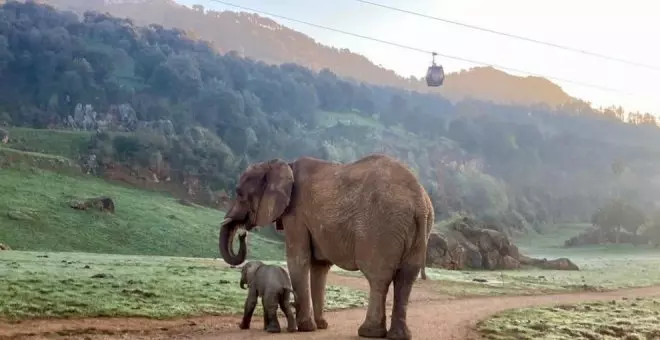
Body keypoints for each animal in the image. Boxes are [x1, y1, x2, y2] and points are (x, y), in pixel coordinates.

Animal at [217, 155, 434, 340]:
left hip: (381, 227)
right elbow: (319, 267)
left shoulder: (296, 215)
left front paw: (305, 328)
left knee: (378, 277)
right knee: (406, 278)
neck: (284, 165)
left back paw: (368, 332)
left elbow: (298, 259)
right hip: (418, 230)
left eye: (239, 193)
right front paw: (321, 326)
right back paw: (399, 335)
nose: (242, 234)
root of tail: (419, 202)